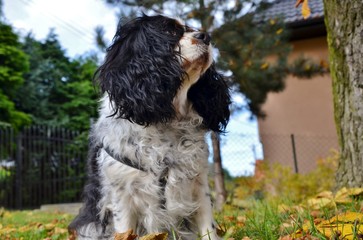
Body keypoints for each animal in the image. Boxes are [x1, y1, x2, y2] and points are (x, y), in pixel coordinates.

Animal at [69, 14, 230, 239]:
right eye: (170, 32)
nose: (206, 36)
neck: (168, 118)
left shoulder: (198, 183)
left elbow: (208, 227)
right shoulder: (121, 192)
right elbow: (124, 230)